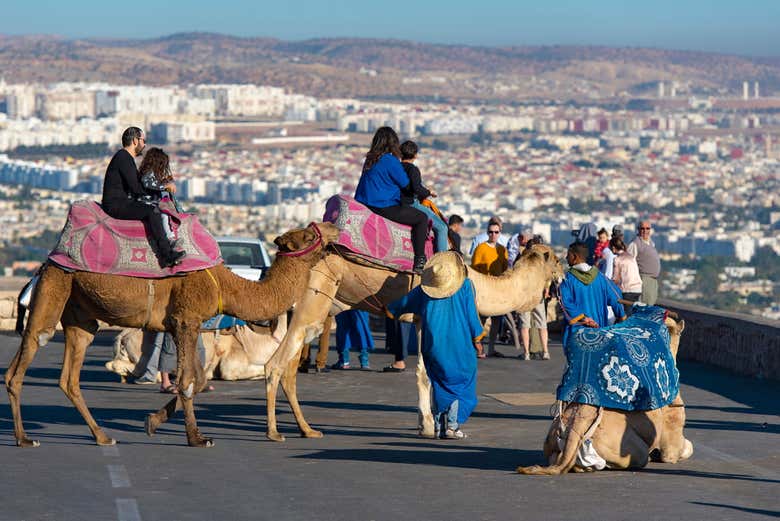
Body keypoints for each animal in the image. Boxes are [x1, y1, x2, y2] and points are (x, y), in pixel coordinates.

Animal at [3, 220, 338, 446]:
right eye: (309, 235)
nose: (333, 227)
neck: (225, 285)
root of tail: (45, 263)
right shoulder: (186, 319)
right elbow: (188, 380)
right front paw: (197, 438)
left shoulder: (183, 325)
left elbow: (196, 380)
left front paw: (153, 421)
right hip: (55, 287)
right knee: (29, 351)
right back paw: (24, 438)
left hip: (79, 313)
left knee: (69, 376)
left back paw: (101, 436)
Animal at [262, 246, 568, 440]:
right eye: (555, 259)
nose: (564, 274)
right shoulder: (427, 315)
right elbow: (426, 373)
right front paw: (431, 427)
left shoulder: (421, 319)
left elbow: (426, 370)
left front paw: (426, 422)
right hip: (312, 300)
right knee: (275, 364)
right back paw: (275, 432)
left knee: (289, 368)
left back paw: (306, 429)